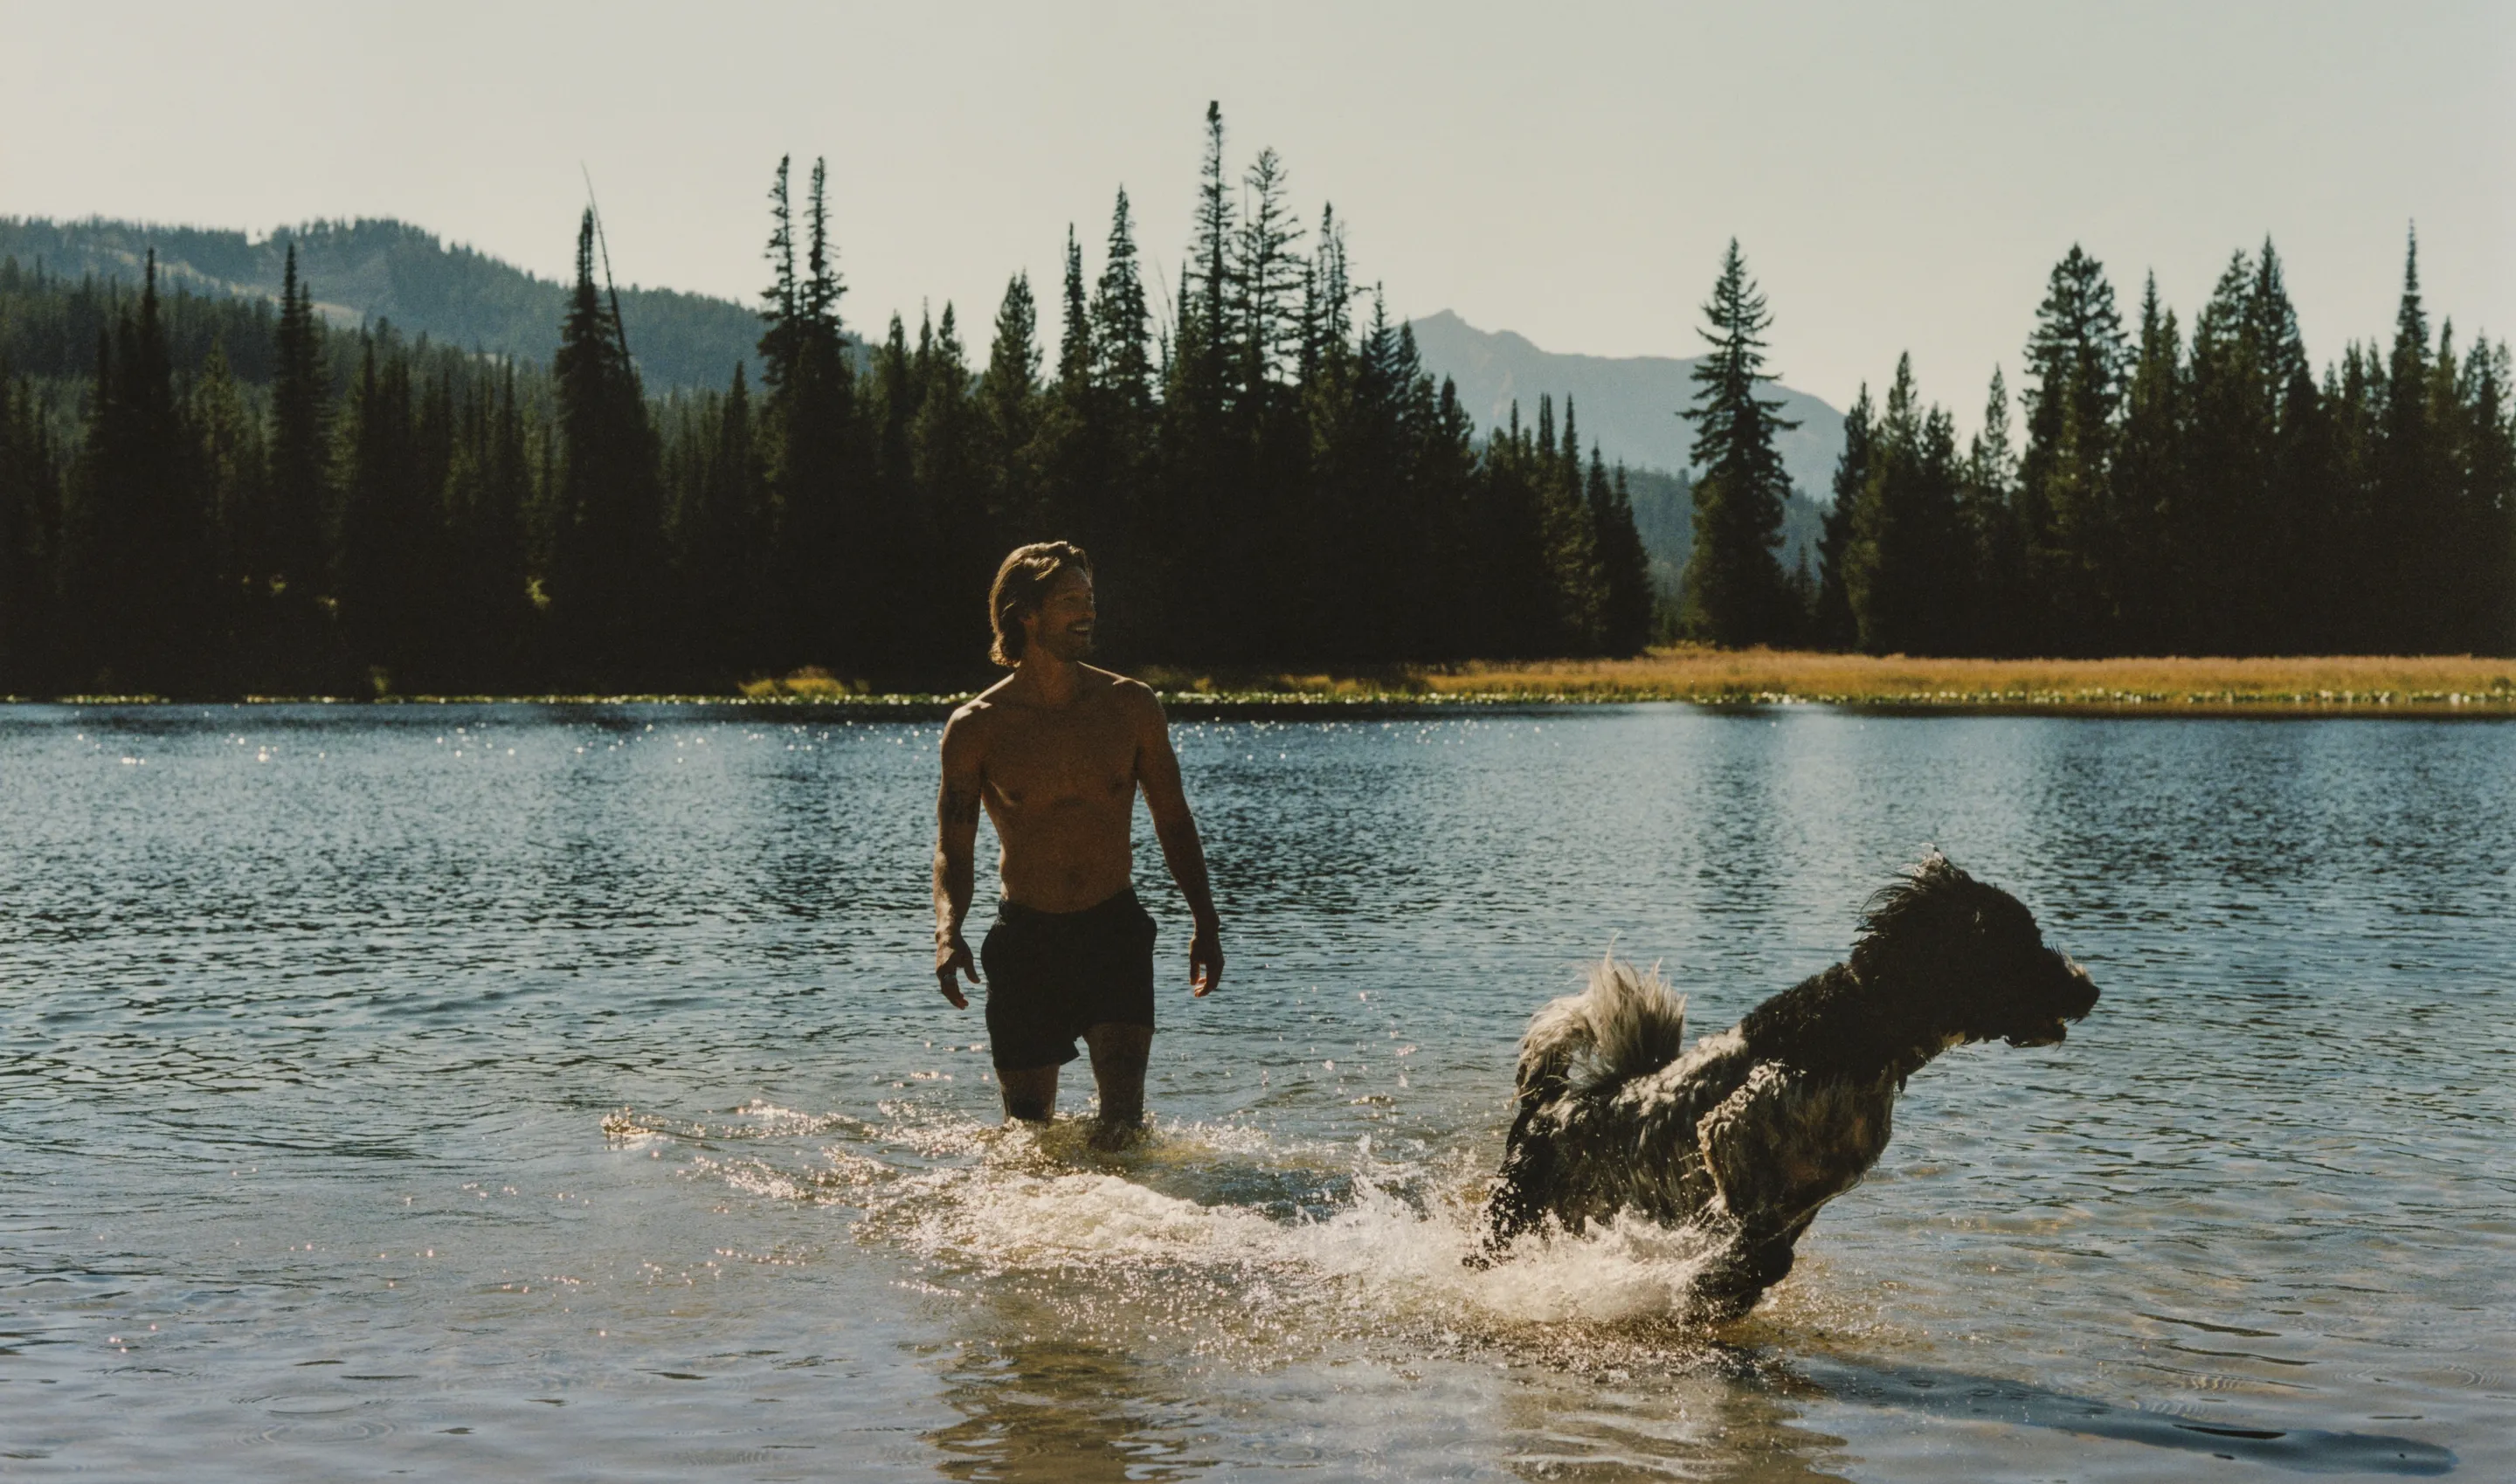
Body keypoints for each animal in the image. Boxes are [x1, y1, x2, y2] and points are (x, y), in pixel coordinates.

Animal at [1479, 855, 2093, 1317]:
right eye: (2021, 943)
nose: (2090, 991)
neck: (1861, 1023)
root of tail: (1545, 1107)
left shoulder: (1811, 1189)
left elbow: (1772, 1250)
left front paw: (1722, 1290)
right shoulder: (1730, 1133)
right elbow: (1755, 1240)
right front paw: (1713, 1286)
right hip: (1508, 1224)